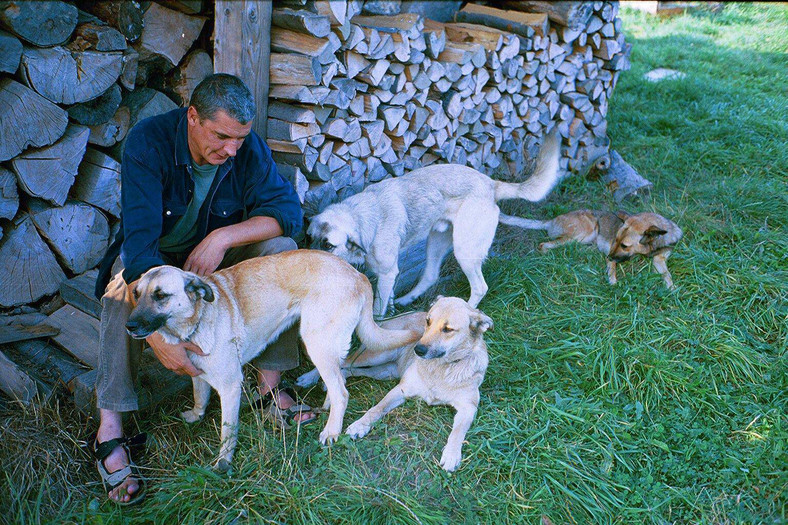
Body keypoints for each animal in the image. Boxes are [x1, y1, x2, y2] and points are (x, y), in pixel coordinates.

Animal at [124, 250, 418, 470]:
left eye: (161, 295)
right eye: (136, 294)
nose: (129, 325)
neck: (195, 322)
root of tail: (358, 275)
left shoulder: (230, 386)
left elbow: (227, 431)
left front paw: (223, 462)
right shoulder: (199, 374)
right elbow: (199, 396)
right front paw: (196, 415)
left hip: (317, 343)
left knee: (342, 391)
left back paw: (332, 430)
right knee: (338, 381)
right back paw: (326, 407)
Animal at [306, 130, 560, 316]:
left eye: (328, 245)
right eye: (309, 238)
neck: (361, 217)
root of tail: (490, 184)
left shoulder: (387, 273)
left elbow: (377, 311)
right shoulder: (389, 274)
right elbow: (387, 299)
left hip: (464, 250)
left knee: (480, 287)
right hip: (436, 242)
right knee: (430, 275)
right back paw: (408, 299)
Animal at [498, 209, 684, 288]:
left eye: (624, 245)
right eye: (616, 239)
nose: (608, 256)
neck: (651, 247)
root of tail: (551, 221)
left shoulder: (660, 259)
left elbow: (667, 275)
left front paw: (672, 289)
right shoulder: (611, 252)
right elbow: (613, 268)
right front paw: (613, 282)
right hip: (586, 230)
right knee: (545, 245)